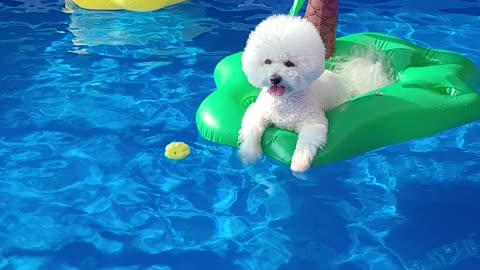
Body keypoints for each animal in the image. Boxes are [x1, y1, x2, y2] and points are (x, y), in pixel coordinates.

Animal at [238, 14, 392, 173]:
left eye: (289, 63)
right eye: (267, 61)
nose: (274, 78)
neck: (284, 101)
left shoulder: (314, 123)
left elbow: (307, 143)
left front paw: (299, 164)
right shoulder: (257, 112)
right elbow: (252, 131)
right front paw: (250, 154)